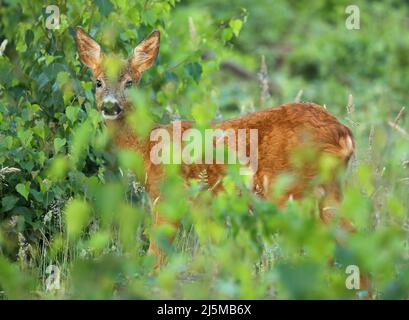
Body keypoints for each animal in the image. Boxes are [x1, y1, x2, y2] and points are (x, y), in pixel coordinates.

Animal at [75, 26, 356, 268]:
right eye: (98, 82)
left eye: (129, 82)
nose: (110, 106)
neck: (148, 145)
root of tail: (343, 133)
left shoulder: (167, 195)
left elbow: (156, 255)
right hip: (328, 188)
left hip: (291, 188)